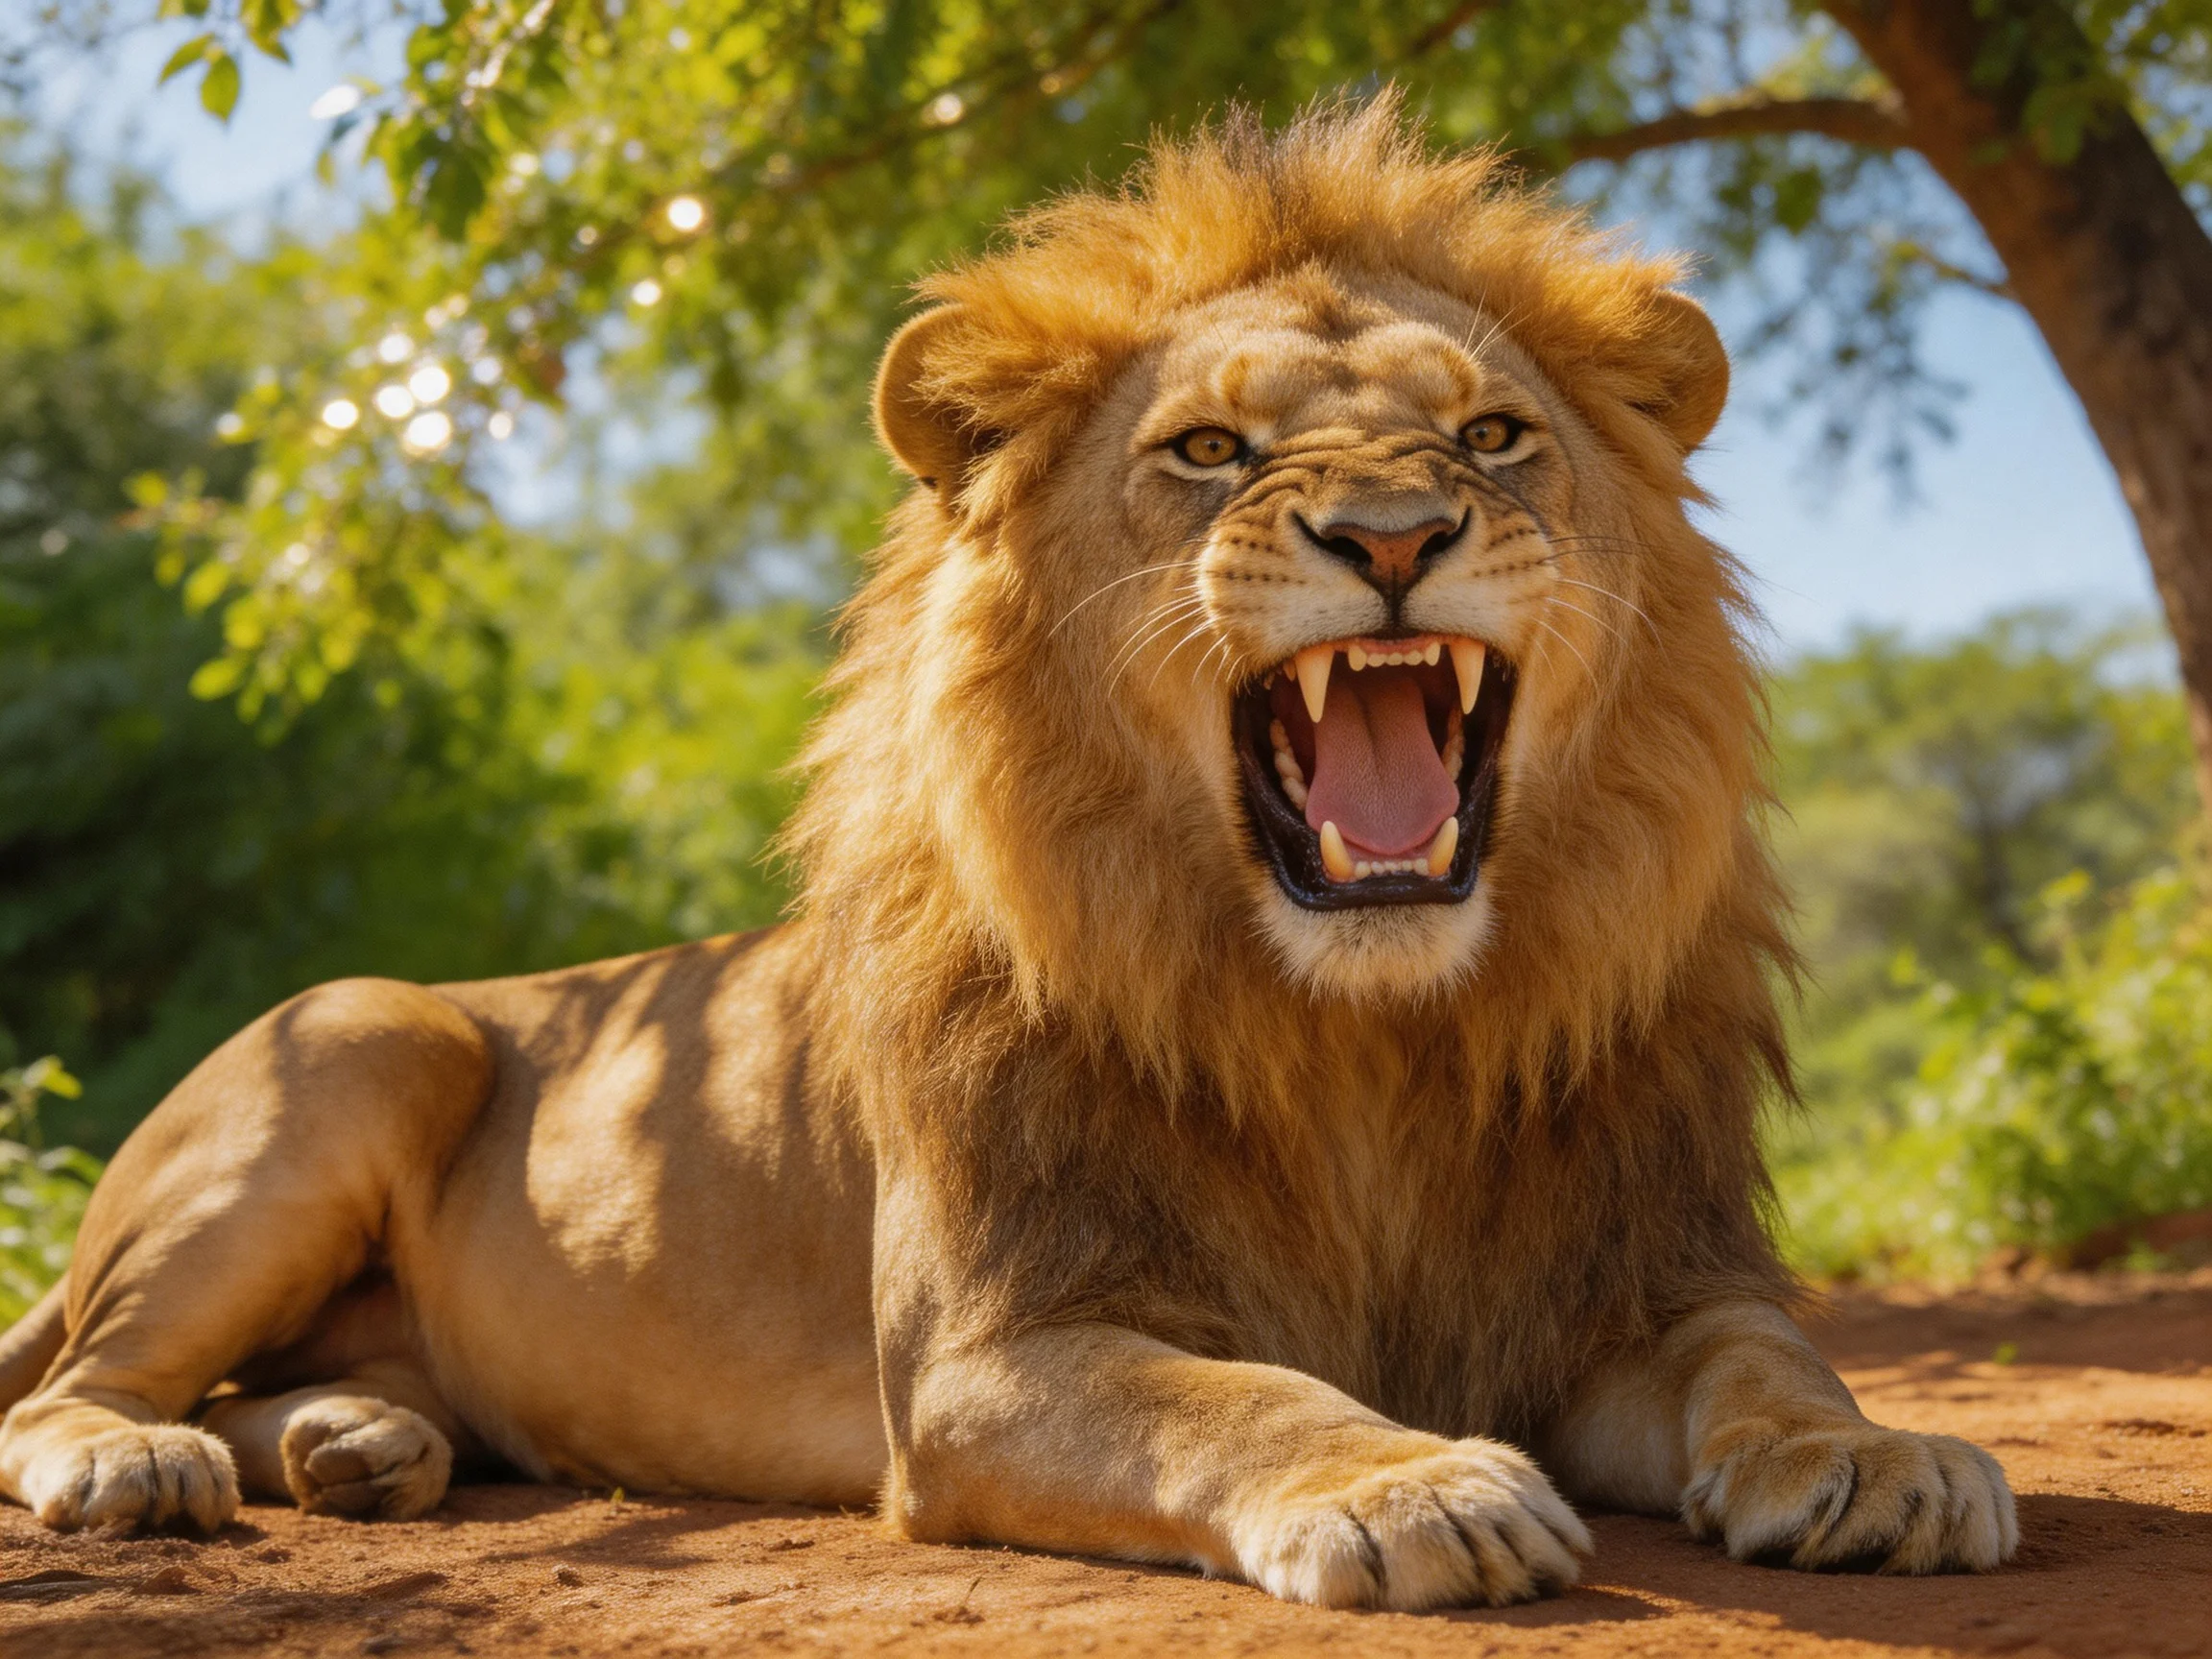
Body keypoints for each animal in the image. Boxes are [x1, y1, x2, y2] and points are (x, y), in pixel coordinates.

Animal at [0, 99, 2015, 1608]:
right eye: (1208, 451)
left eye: (1491, 431)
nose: (1390, 531)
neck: (1362, 1034)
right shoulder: (989, 1357)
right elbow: (1241, 1397)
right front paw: (1406, 1483)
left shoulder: (1637, 1279)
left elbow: (1767, 1359)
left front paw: (1874, 1455)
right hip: (362, 1033)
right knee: (70, 1389)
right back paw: (143, 1459)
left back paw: (359, 1439)